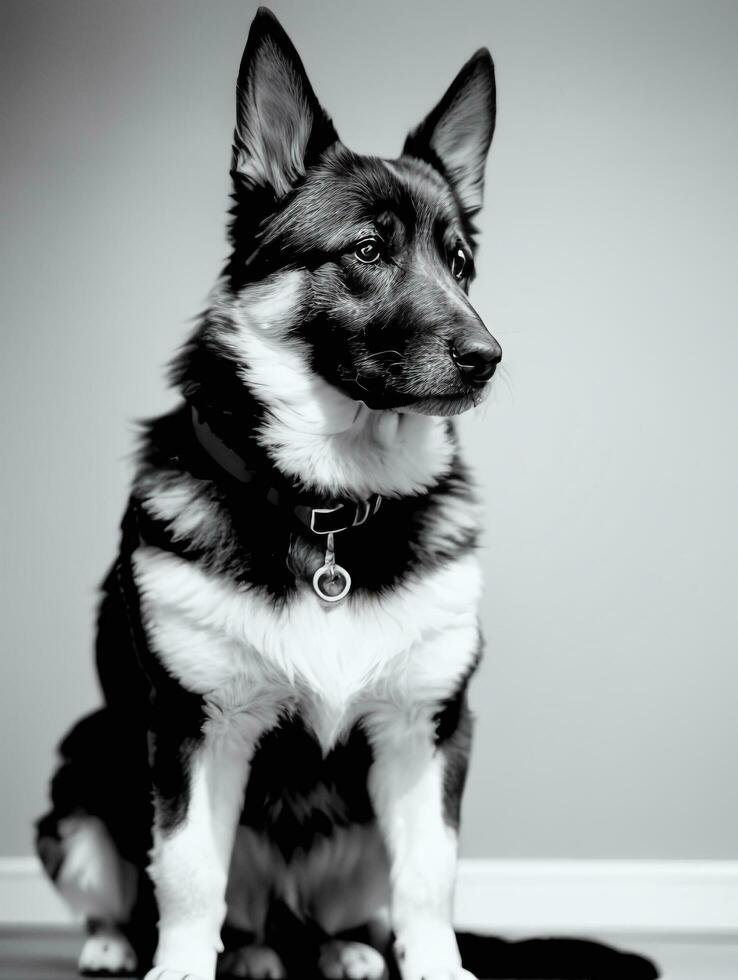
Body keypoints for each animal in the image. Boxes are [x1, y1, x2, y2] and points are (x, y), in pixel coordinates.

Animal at [36, 7, 656, 980]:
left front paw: (436, 966)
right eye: (367, 249)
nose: (489, 359)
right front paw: (178, 965)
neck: (327, 502)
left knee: (322, 917)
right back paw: (123, 946)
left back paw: (340, 952)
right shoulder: (193, 731)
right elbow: (186, 877)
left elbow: (429, 879)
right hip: (79, 777)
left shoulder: (426, 733)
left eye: (460, 264)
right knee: (156, 894)